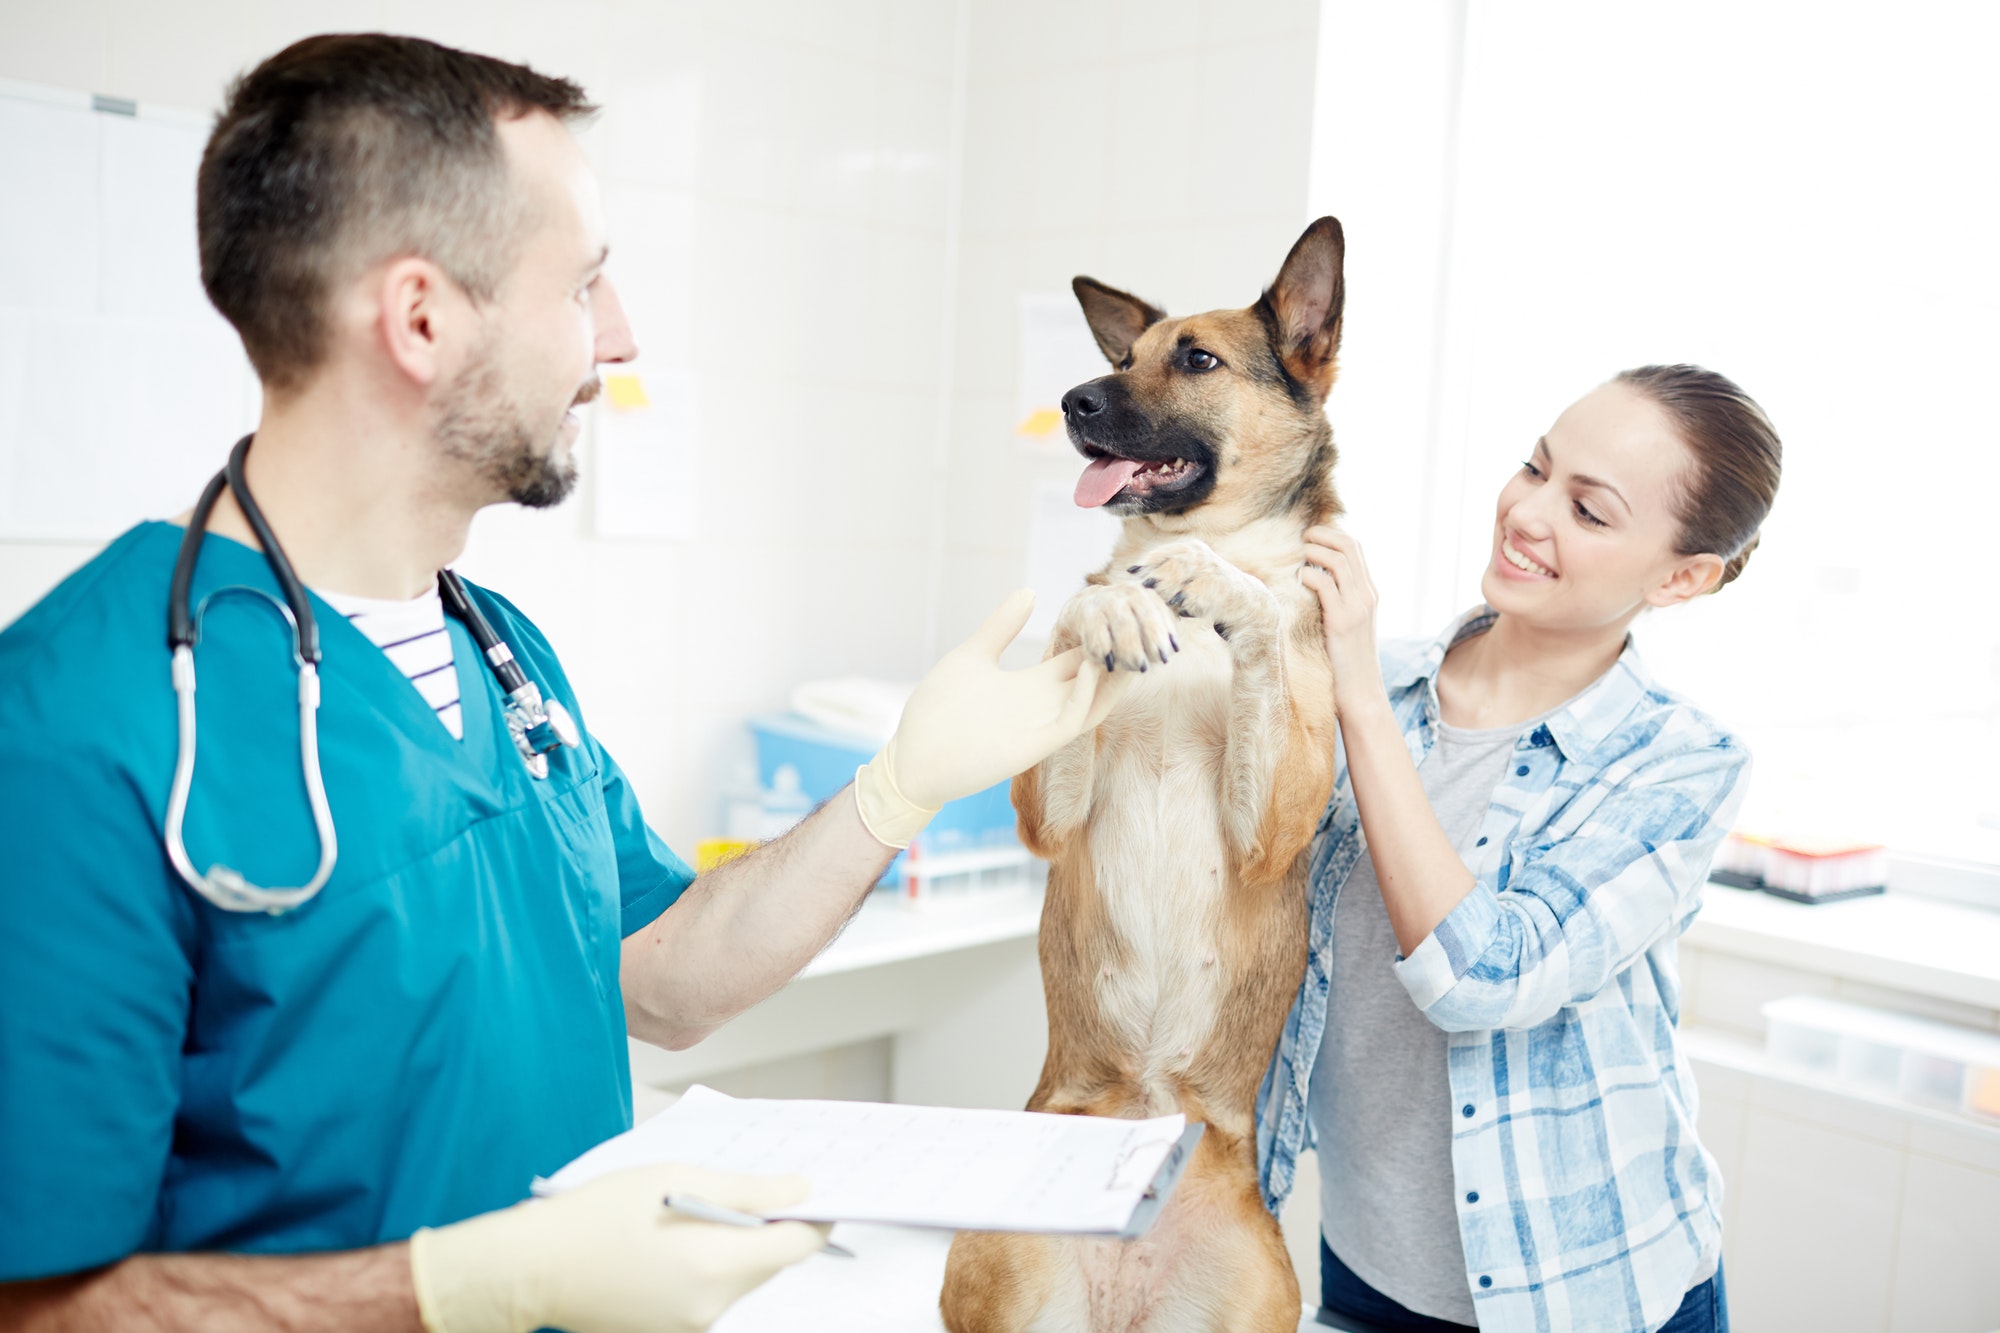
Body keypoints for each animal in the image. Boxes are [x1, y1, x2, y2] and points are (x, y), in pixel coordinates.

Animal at [936, 213, 1344, 1320]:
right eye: (1121, 360)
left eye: (1196, 360)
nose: (1074, 400)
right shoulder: (1049, 814)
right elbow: (1087, 604)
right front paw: (1116, 603)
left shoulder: (1270, 827)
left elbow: (1257, 613)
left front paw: (1216, 582)